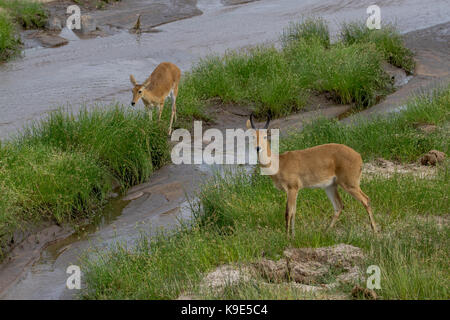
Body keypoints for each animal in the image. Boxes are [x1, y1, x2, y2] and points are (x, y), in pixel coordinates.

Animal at [248, 114, 378, 236]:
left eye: (265, 135)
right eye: (253, 136)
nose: (258, 148)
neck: (279, 163)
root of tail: (358, 156)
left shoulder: (292, 188)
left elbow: (288, 212)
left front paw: (287, 237)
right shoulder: (293, 191)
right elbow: (294, 211)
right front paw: (293, 235)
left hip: (349, 184)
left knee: (366, 200)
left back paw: (374, 231)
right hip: (330, 186)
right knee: (339, 206)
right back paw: (325, 231)